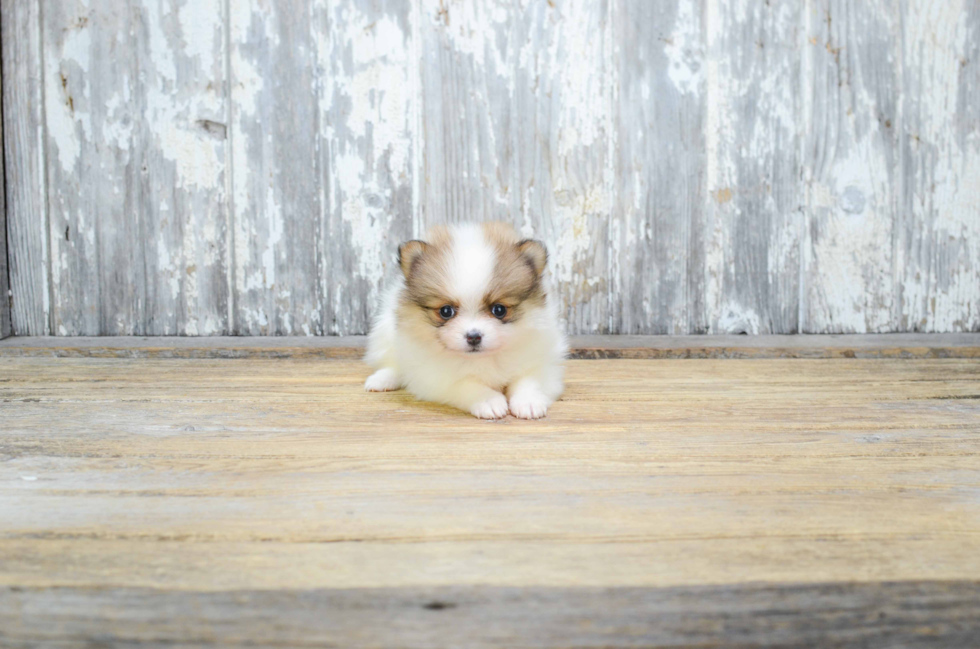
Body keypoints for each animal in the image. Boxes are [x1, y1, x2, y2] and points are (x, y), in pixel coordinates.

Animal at [366, 220, 568, 418]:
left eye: (499, 310)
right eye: (446, 311)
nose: (474, 337)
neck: (482, 358)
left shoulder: (541, 363)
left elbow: (530, 379)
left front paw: (528, 402)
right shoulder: (435, 379)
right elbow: (466, 384)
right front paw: (489, 400)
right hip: (386, 335)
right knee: (393, 363)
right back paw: (381, 379)